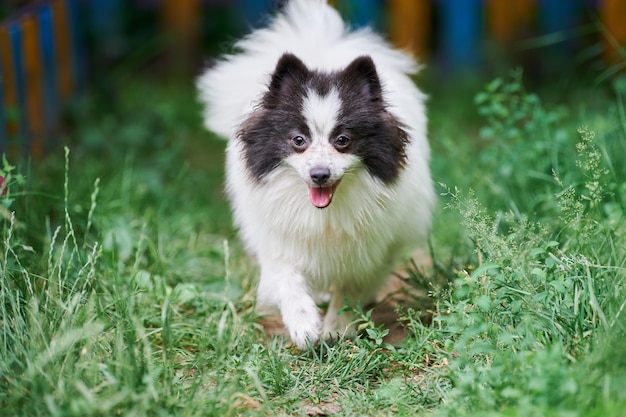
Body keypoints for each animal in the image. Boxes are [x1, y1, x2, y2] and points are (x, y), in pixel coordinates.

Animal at [197, 0, 432, 348]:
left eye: (343, 140)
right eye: (298, 140)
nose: (319, 174)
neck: (324, 215)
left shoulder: (371, 249)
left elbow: (350, 286)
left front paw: (338, 325)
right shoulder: (279, 241)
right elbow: (288, 279)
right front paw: (304, 325)